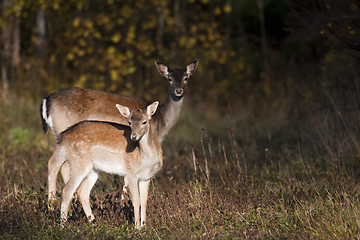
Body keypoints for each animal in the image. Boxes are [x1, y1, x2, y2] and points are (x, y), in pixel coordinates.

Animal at [42, 59, 200, 202]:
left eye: (186, 78)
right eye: (169, 79)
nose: (178, 91)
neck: (161, 123)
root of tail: (46, 100)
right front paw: (124, 200)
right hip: (62, 128)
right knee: (55, 163)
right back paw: (53, 201)